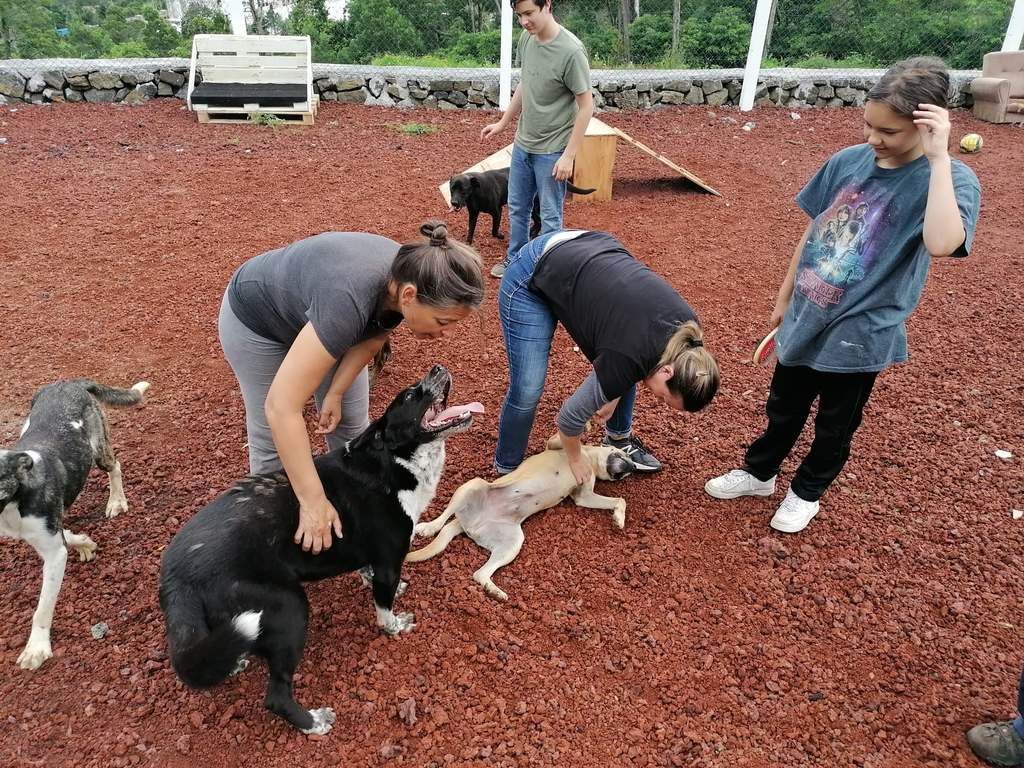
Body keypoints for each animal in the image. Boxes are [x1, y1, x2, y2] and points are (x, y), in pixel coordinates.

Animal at [156, 364, 483, 737]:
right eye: (411, 395)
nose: (438, 367)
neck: (393, 461)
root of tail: (174, 574)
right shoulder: (389, 558)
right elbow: (383, 607)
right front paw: (394, 625)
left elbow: (370, 573)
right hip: (288, 606)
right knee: (275, 695)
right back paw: (312, 722)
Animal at [405, 434, 630, 602]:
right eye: (623, 455)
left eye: (630, 469)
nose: (630, 469)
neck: (590, 460)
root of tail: (469, 524)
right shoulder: (555, 444)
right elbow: (568, 437)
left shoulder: (584, 497)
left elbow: (620, 500)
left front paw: (619, 519)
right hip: (474, 484)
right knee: (444, 518)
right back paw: (429, 527)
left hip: (512, 542)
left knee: (480, 574)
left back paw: (494, 591)